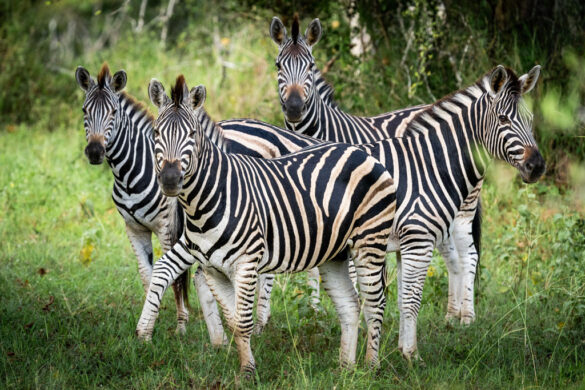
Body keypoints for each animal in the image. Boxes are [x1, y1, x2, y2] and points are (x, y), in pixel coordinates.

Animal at [73, 64, 228, 348]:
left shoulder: (167, 227)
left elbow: (175, 278)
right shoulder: (134, 228)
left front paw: (180, 327)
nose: (95, 152)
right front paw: (150, 323)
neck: (129, 174)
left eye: (113, 112)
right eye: (84, 111)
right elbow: (147, 274)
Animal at [135, 76, 394, 374]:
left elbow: (243, 322)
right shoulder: (213, 269)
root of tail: (359, 151)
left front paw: (248, 372)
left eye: (191, 134)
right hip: (335, 253)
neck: (207, 200)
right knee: (350, 305)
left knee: (374, 304)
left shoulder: (246, 264)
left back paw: (371, 367)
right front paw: (243, 367)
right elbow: (234, 321)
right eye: (156, 133)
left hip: (370, 241)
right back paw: (346, 369)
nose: (169, 180)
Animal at [270, 15, 484, 324]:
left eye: (310, 66)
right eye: (278, 65)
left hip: (463, 203)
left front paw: (357, 310)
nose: (295, 108)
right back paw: (450, 316)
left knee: (468, 254)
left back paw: (467, 318)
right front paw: (316, 309)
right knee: (452, 255)